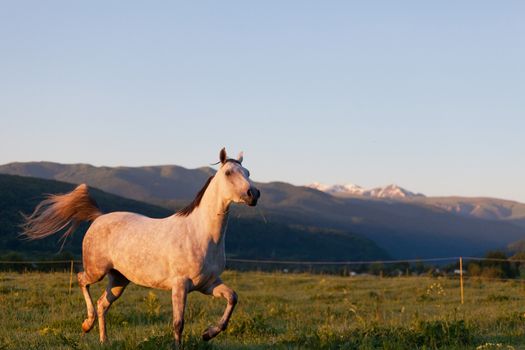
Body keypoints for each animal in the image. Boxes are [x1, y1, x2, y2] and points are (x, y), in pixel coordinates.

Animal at [21, 146, 260, 346]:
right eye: (229, 173)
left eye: (248, 172)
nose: (254, 194)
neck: (200, 234)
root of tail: (98, 217)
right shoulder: (180, 285)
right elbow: (178, 324)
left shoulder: (208, 284)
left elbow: (232, 298)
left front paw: (208, 333)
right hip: (96, 270)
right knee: (81, 280)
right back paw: (87, 324)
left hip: (119, 280)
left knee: (102, 303)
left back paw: (104, 341)